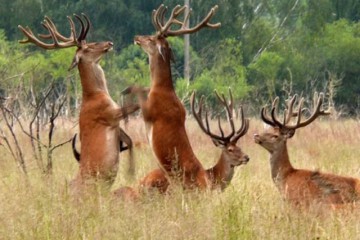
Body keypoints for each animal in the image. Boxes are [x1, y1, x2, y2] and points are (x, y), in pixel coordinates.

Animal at [17, 14, 139, 193]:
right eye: (88, 47)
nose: (109, 43)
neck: (96, 95)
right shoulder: (108, 114)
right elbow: (135, 109)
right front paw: (131, 170)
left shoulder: (115, 123)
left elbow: (129, 140)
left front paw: (131, 169)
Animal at [124, 4, 221, 190]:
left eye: (152, 38)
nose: (136, 37)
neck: (161, 88)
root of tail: (206, 184)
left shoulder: (151, 111)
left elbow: (137, 90)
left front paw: (125, 96)